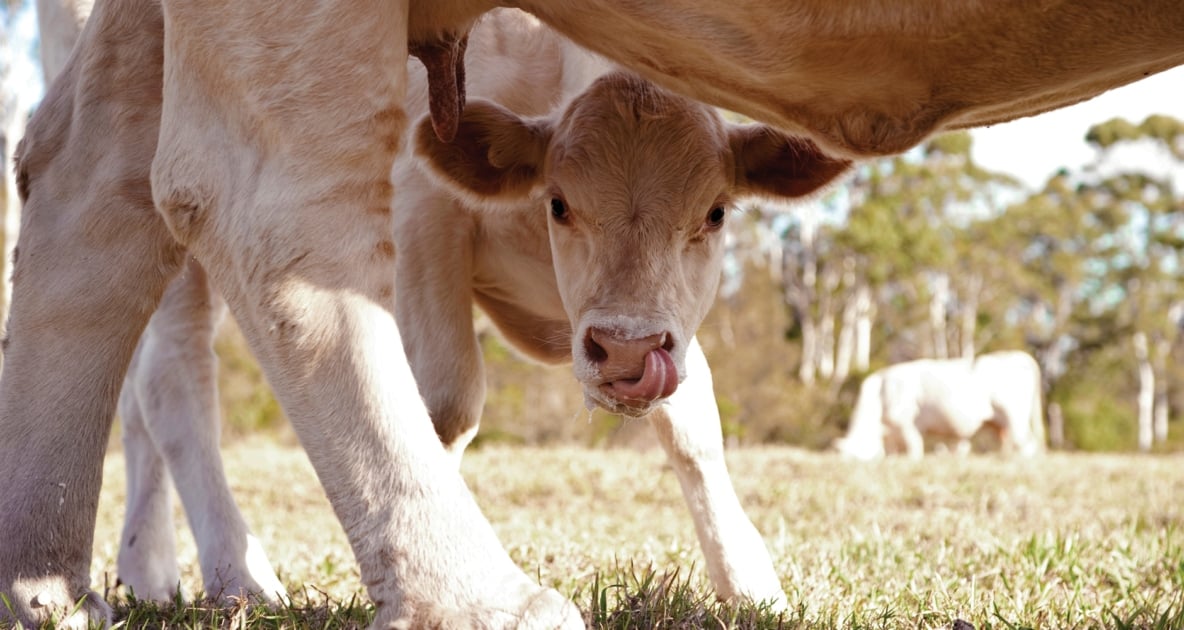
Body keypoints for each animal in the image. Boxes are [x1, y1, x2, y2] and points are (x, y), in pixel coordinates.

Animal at [833, 350, 1046, 457]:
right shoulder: (892, 433)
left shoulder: (907, 423)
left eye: (852, 457)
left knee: (1028, 444)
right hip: (1000, 423)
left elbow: (915, 448)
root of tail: (1020, 356)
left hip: (1015, 417)